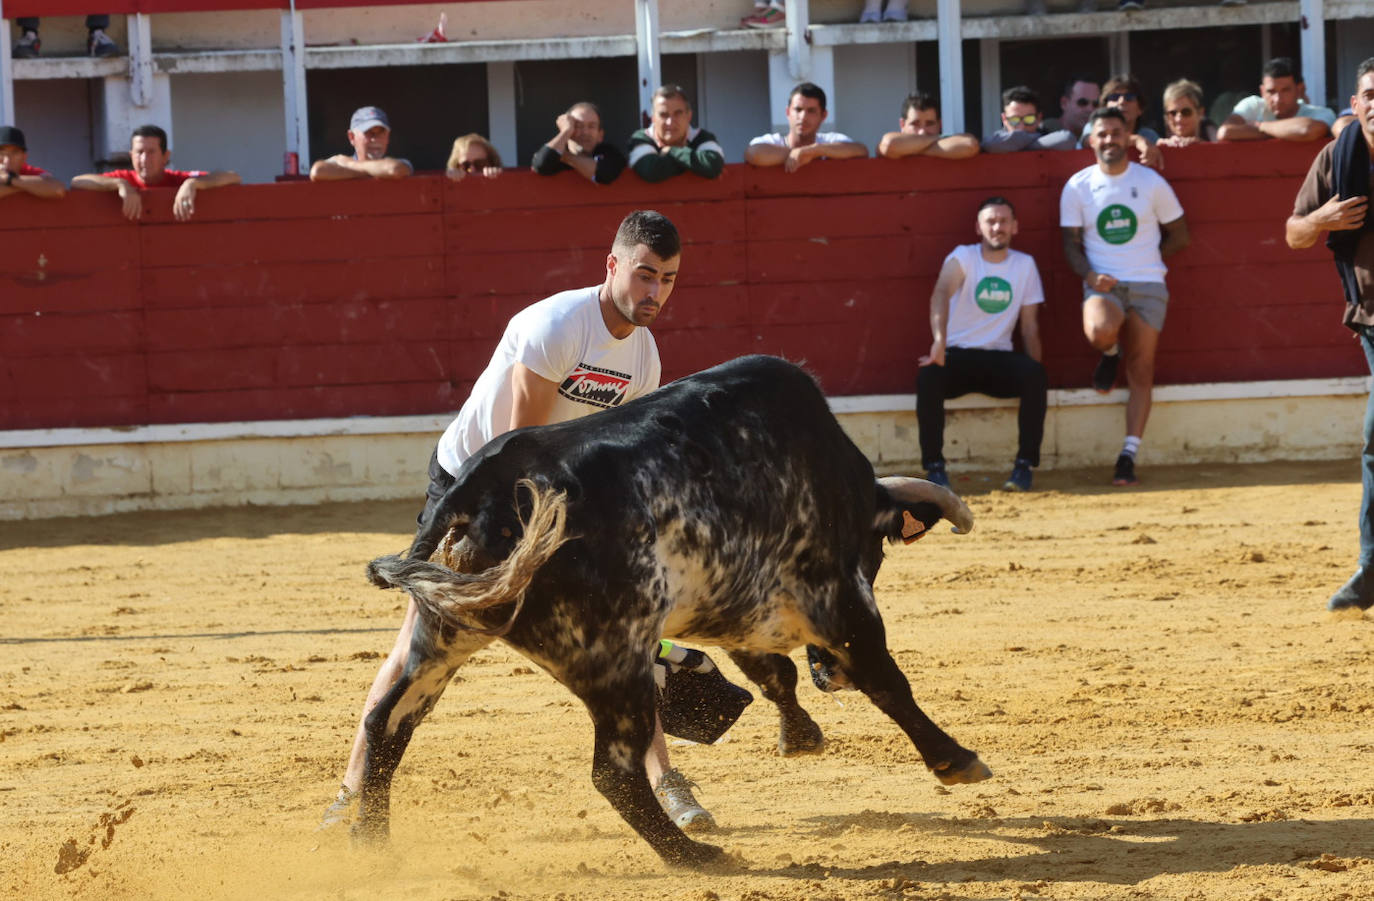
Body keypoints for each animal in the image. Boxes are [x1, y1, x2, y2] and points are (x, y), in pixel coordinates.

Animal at [359, 351, 994, 868]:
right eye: (877, 551)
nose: (828, 676)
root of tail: (478, 488)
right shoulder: (837, 597)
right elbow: (885, 680)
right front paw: (956, 760)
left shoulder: (738, 604)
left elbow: (774, 674)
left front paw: (800, 734)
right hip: (617, 664)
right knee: (614, 771)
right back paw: (694, 855)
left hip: (443, 636)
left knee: (387, 722)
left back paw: (370, 846)